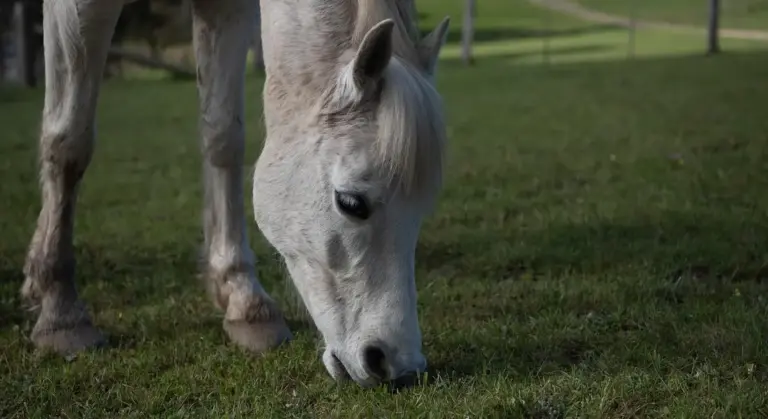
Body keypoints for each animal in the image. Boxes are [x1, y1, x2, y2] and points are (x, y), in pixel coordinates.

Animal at [22, 0, 450, 389]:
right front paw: (61, 312)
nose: (399, 366)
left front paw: (243, 298)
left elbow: (223, 136)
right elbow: (68, 141)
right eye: (351, 203)